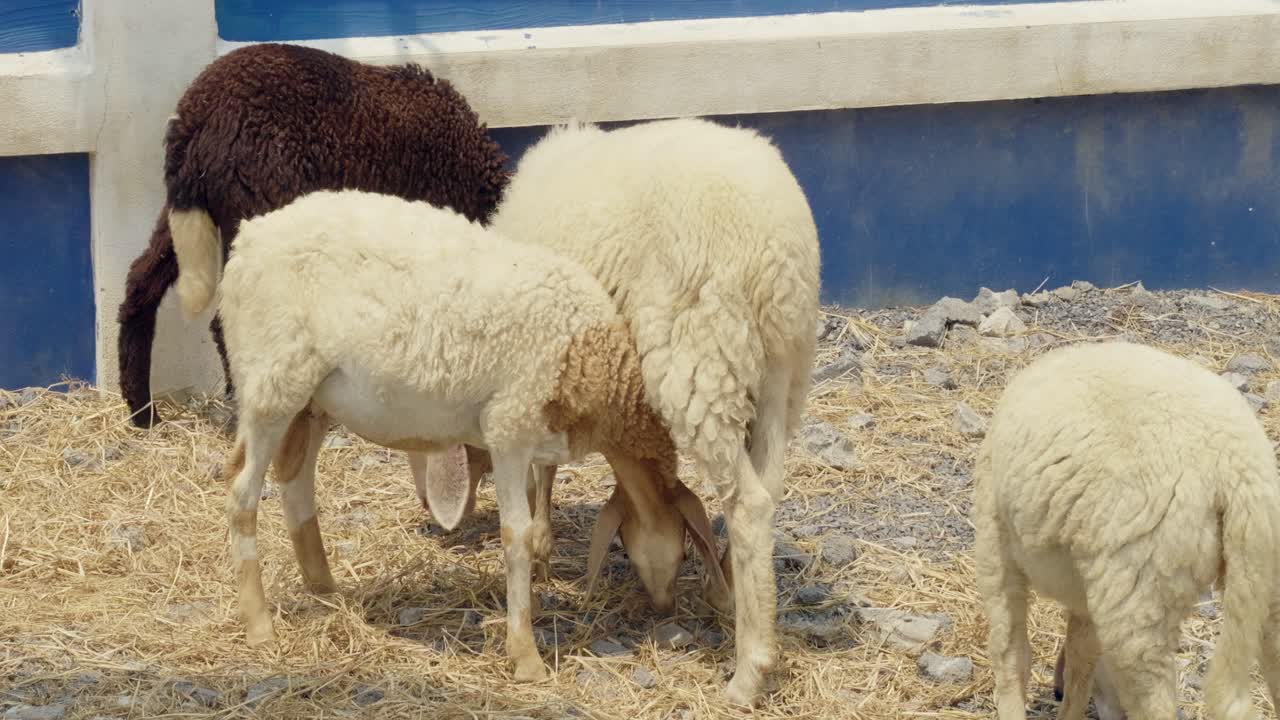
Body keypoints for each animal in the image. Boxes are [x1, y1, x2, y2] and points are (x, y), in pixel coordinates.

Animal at [115, 42, 509, 429]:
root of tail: (197, 117)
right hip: (255, 206)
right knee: (224, 321)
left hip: (187, 213)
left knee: (140, 284)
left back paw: (143, 412)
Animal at [174, 187, 727, 682]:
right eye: (682, 548)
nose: (665, 607)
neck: (595, 360)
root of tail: (249, 238)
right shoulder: (509, 426)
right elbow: (516, 533)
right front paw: (525, 655)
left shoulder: (527, 438)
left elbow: (534, 512)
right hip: (269, 380)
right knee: (241, 491)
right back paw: (259, 625)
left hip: (312, 398)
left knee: (295, 480)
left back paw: (326, 590)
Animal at [480, 117, 822, 705]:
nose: (663, 605)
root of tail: (773, 248)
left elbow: (539, 468)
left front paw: (541, 543)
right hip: (783, 369)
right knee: (769, 485)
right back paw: (732, 588)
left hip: (701, 353)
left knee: (750, 503)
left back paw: (749, 672)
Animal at [973, 341, 1280, 719]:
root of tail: (1238, 468)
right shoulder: (1088, 587)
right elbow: (1082, 658)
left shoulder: (994, 537)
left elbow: (1010, 649)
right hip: (1262, 574)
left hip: (1138, 593)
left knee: (1155, 700)